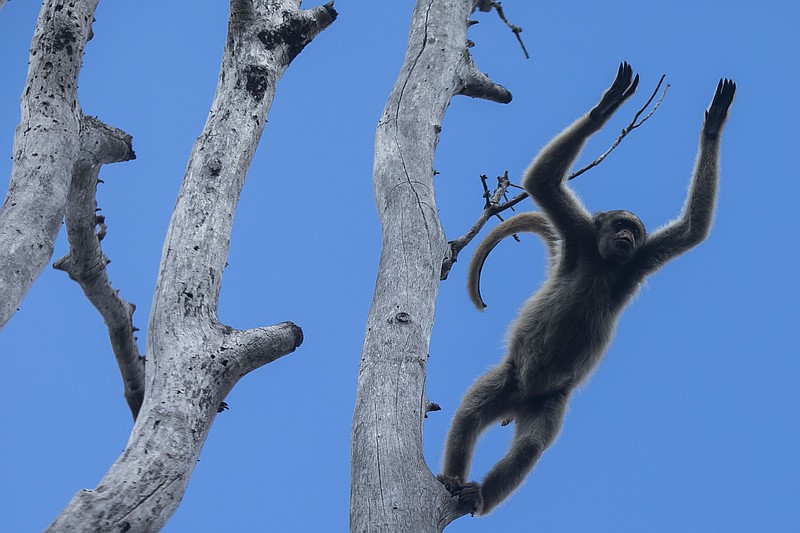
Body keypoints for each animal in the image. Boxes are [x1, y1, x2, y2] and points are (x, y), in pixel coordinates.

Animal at [440, 63, 736, 516]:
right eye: (620, 226)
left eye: (634, 232)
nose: (627, 238)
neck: (604, 263)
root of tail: (519, 399)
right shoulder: (579, 236)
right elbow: (541, 182)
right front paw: (607, 106)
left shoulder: (638, 261)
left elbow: (693, 229)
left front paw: (714, 126)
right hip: (511, 378)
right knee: (473, 410)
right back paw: (456, 479)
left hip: (548, 402)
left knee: (528, 448)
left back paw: (480, 495)